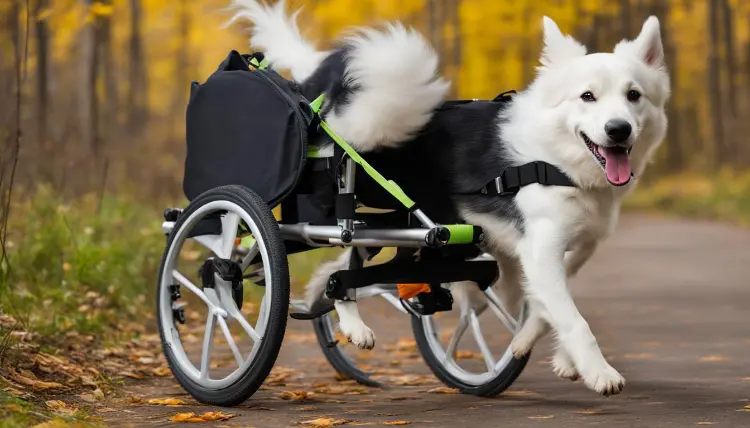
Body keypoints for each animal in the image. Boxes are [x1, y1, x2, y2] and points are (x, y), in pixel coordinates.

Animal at [229, 0, 668, 396]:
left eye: (634, 95)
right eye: (587, 96)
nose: (618, 130)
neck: (555, 158)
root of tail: (321, 105)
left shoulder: (573, 249)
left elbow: (546, 309)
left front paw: (537, 348)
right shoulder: (541, 249)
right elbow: (572, 318)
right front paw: (599, 372)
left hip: (405, 224)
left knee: (335, 270)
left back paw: (344, 316)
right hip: (364, 215)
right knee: (341, 267)